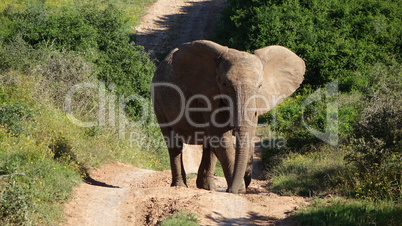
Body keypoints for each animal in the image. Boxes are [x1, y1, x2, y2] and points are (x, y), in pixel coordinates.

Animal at [152, 39, 304, 193]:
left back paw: (208, 188)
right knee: (174, 143)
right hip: (158, 102)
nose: (230, 190)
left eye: (260, 86)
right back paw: (180, 186)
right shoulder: (208, 96)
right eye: (225, 84)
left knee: (209, 145)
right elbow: (221, 139)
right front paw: (239, 190)